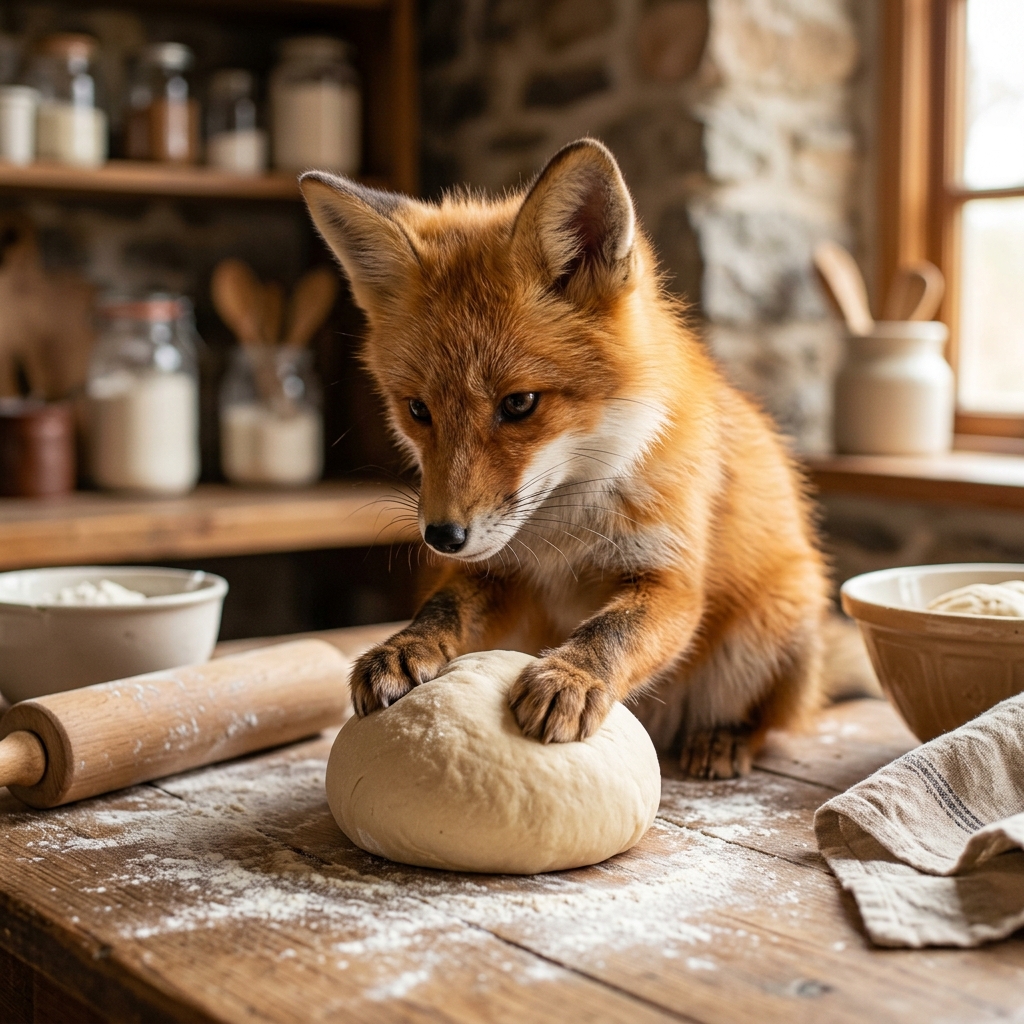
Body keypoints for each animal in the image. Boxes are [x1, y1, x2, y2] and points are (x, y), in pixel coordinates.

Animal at [300, 138, 830, 779]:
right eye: (418, 410)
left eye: (519, 403)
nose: (442, 537)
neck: (563, 535)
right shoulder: (499, 573)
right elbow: (442, 608)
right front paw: (403, 647)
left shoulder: (671, 578)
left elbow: (611, 630)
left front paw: (571, 676)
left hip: (775, 627)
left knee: (772, 721)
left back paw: (724, 738)